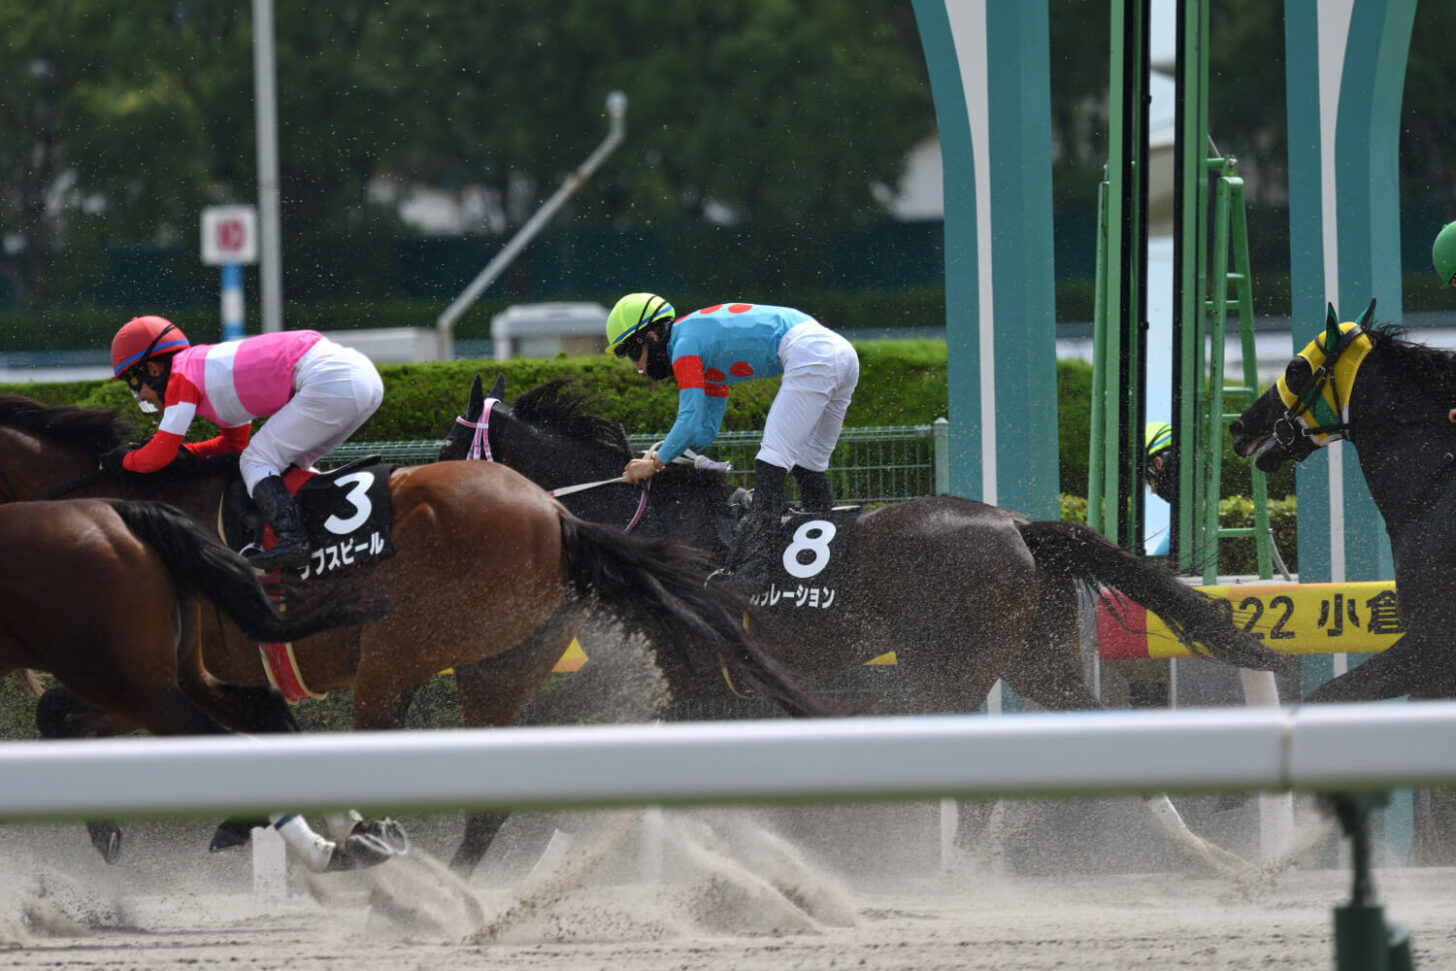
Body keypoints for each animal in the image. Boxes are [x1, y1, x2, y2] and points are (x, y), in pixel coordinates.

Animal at [0, 497, 396, 867]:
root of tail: (115, 509)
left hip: (137, 691)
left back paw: (305, 845)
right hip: (182, 677)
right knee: (265, 705)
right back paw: (353, 834)